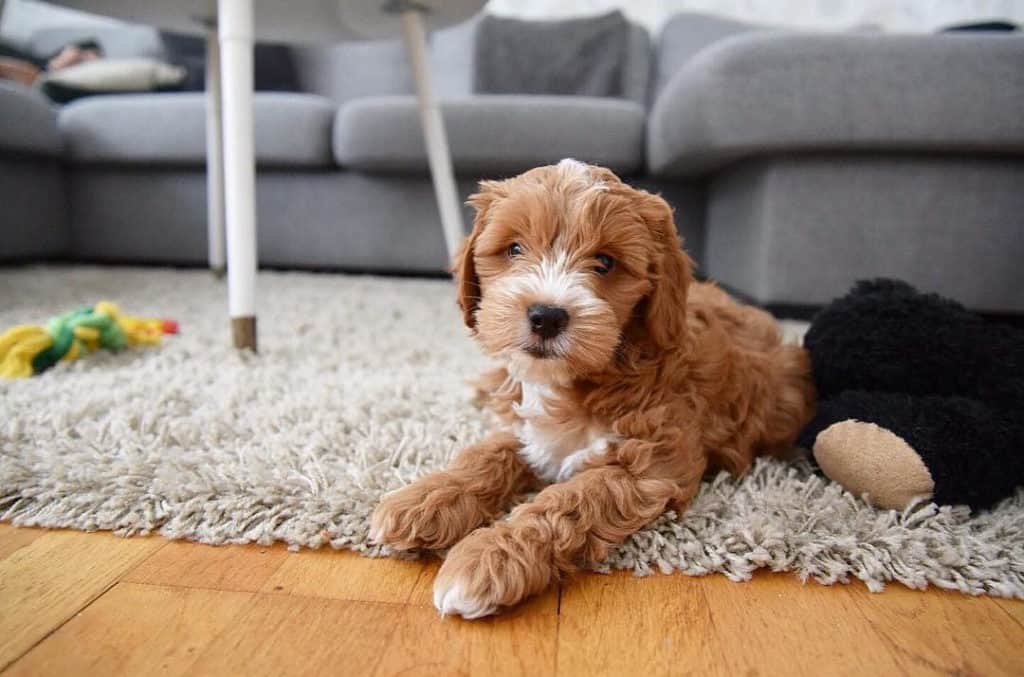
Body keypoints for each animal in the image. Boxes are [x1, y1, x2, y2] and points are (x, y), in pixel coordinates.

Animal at [372, 159, 811, 618]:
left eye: (605, 261)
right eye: (514, 249)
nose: (546, 316)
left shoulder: (654, 465)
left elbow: (575, 498)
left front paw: (489, 557)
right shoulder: (526, 431)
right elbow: (485, 454)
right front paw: (424, 499)